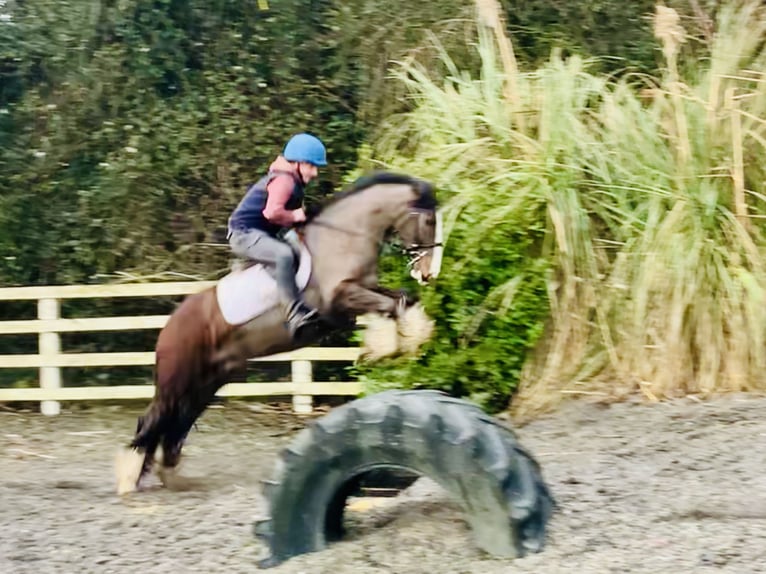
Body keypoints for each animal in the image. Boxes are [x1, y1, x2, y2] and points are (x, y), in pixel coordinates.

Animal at [117, 171, 448, 496]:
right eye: (429, 221)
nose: (428, 274)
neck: (343, 237)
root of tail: (170, 325)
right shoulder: (342, 298)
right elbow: (393, 304)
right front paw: (388, 346)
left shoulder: (362, 293)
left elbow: (401, 299)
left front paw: (399, 341)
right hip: (178, 380)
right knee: (154, 419)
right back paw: (129, 479)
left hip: (207, 383)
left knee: (177, 424)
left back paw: (168, 475)